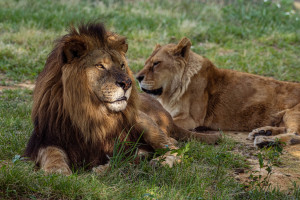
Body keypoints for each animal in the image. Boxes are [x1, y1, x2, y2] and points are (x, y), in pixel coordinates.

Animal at [25, 23, 218, 175]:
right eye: (100, 66)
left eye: (122, 65)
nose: (127, 83)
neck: (90, 113)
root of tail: (167, 115)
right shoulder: (46, 138)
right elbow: (52, 154)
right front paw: (57, 172)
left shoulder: (121, 142)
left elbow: (123, 157)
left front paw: (102, 168)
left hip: (144, 121)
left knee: (174, 146)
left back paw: (160, 162)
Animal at [137, 37, 300, 147]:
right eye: (146, 63)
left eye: (156, 63)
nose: (137, 77)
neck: (170, 91)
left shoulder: (192, 119)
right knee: (285, 128)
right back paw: (262, 132)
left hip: (293, 113)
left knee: (295, 134)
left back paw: (264, 140)